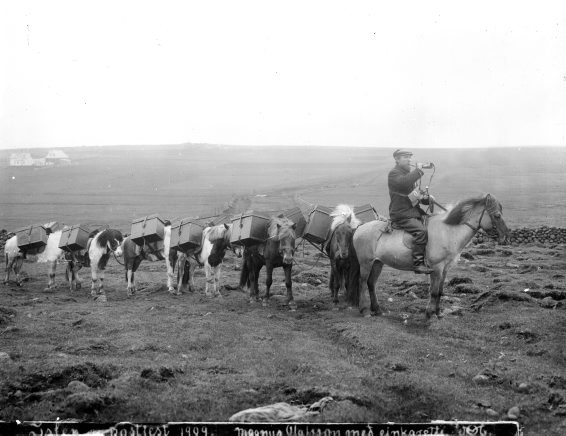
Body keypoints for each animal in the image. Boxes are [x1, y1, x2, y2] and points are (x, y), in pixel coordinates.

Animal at [356, 192, 510, 318]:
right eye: (497, 215)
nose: (506, 238)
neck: (448, 231)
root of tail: (359, 228)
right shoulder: (436, 268)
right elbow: (434, 291)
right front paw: (430, 313)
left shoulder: (445, 268)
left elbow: (440, 291)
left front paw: (438, 313)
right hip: (366, 263)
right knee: (362, 282)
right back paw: (364, 310)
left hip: (378, 263)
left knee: (371, 283)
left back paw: (377, 309)